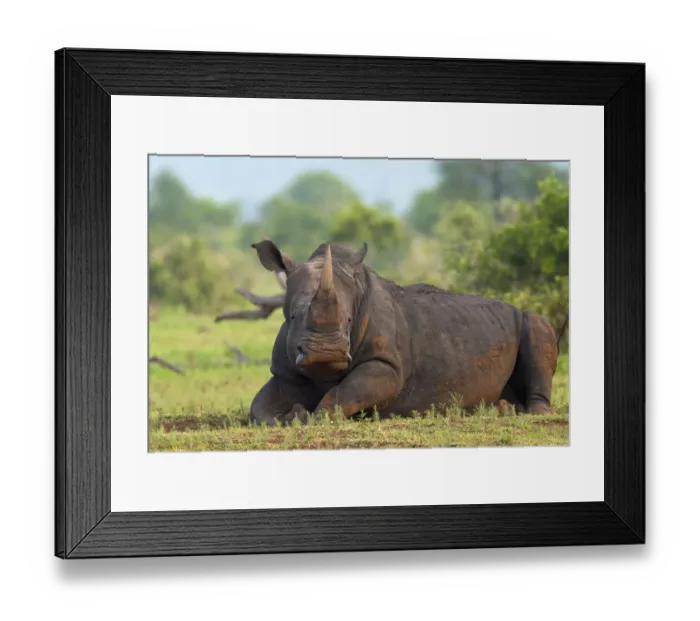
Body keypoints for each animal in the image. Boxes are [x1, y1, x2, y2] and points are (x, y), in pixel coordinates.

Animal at [248, 240, 559, 426]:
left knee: (538, 328)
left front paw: (309, 418)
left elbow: (344, 393)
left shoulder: (387, 364)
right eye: (292, 316)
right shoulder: (286, 371)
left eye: (348, 320)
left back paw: (532, 413)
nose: (327, 352)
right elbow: (259, 406)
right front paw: (290, 416)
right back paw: (502, 408)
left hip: (524, 318)